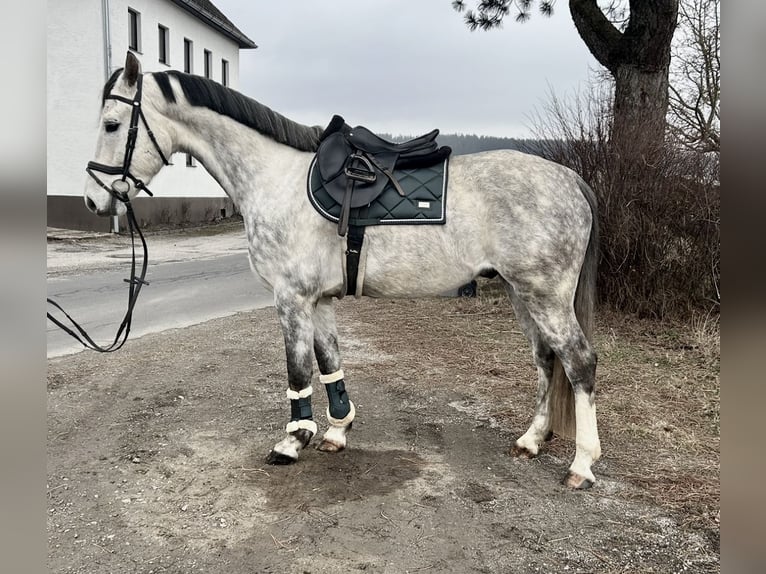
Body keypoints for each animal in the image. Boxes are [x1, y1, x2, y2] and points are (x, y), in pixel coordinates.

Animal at [82, 53, 600, 490]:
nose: (93, 200)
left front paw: (293, 440)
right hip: (520, 292)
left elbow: (297, 369)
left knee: (579, 363)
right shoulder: (321, 300)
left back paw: (582, 465)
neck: (275, 179)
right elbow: (330, 362)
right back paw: (532, 440)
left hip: (546, 295)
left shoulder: (291, 298)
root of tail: (570, 178)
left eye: (112, 124)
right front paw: (337, 430)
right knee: (546, 360)